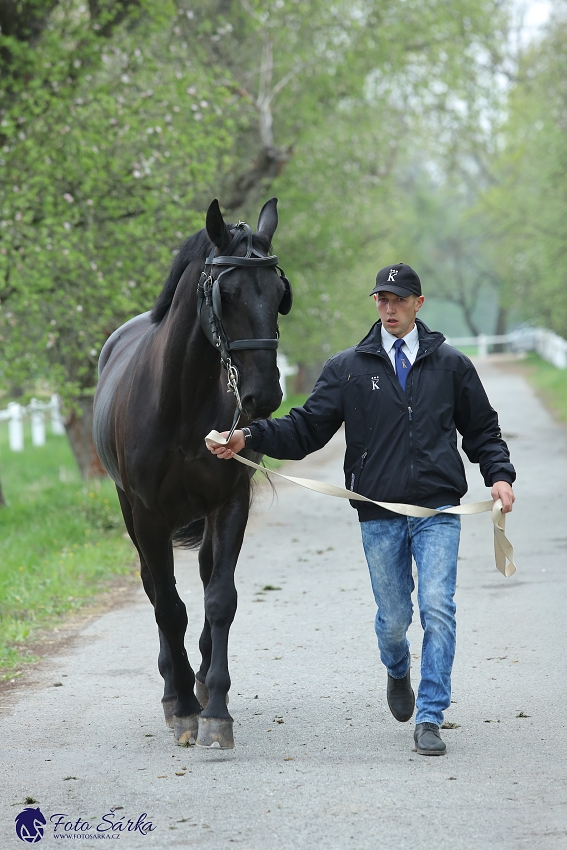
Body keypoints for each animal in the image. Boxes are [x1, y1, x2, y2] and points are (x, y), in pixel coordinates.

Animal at [93, 195, 292, 744]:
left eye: (279, 294)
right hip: (131, 513)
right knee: (154, 588)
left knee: (204, 576)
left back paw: (201, 680)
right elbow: (167, 605)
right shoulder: (148, 515)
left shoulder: (230, 503)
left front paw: (216, 709)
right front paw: (182, 705)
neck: (180, 403)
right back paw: (174, 687)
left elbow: (220, 599)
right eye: (227, 294)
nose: (264, 395)